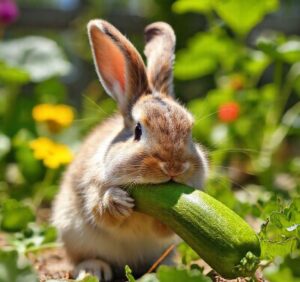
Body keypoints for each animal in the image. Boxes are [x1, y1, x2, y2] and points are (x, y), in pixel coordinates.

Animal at [51, 18, 209, 280]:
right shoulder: (93, 188)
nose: (173, 167)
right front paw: (118, 202)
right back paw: (93, 270)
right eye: (137, 130)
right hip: (73, 232)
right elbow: (101, 212)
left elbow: (163, 229)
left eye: (190, 131)